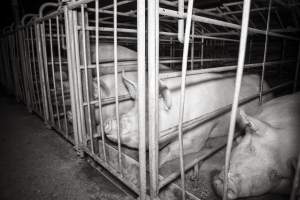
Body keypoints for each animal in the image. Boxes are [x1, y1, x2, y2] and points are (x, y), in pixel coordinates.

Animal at [103, 73, 272, 166]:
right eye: (133, 106)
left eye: (148, 115)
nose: (107, 124)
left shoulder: (200, 132)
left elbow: (173, 149)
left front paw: (153, 164)